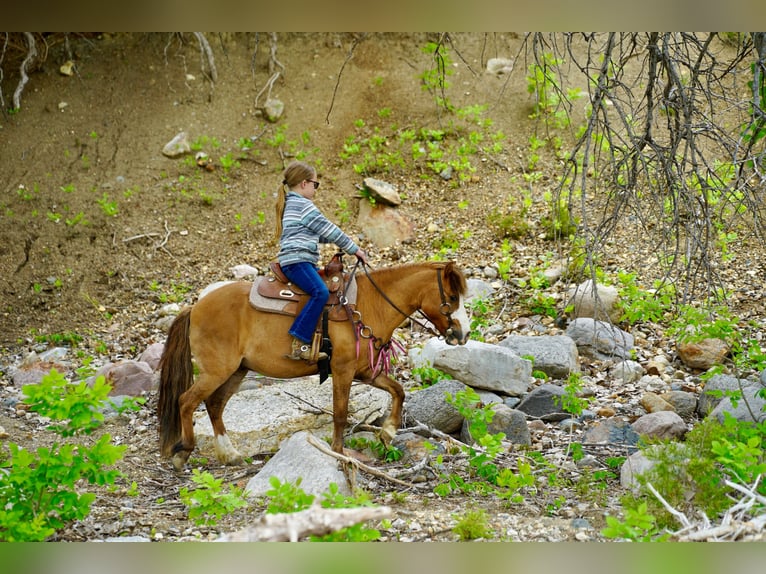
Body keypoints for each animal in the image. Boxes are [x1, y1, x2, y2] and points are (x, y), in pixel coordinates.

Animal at [157, 260, 470, 471]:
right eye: (452, 298)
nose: (464, 334)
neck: (369, 305)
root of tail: (194, 307)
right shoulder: (343, 371)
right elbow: (341, 414)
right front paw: (339, 453)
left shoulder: (366, 372)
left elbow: (398, 391)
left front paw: (388, 431)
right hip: (217, 370)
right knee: (186, 401)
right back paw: (182, 453)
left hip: (236, 371)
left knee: (214, 405)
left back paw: (229, 454)